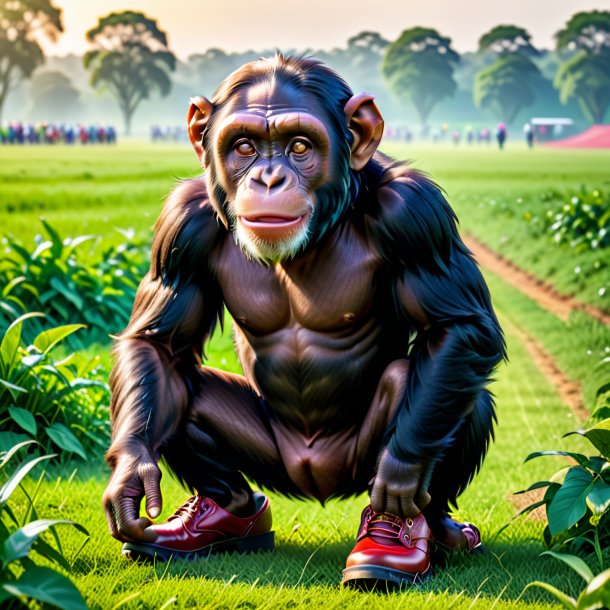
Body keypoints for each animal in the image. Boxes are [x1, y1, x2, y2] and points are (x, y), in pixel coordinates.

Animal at [103, 54, 504, 588]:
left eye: (299, 146)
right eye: (245, 146)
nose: (269, 178)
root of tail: (315, 478)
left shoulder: (417, 214)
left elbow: (458, 327)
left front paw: (402, 474)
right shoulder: (181, 224)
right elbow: (159, 343)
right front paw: (130, 473)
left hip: (352, 464)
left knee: (441, 388)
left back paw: (412, 534)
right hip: (276, 462)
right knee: (181, 386)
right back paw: (221, 517)